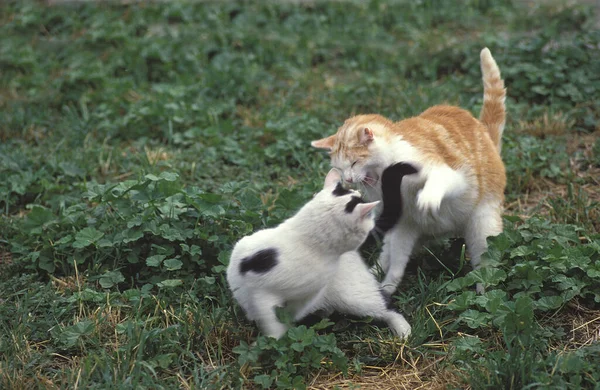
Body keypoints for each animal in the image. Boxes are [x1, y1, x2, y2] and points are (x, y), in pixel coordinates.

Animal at [225, 168, 418, 338]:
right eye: (369, 216)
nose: (373, 221)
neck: (304, 238)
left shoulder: (308, 293)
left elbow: (287, 316)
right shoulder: (263, 295)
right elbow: (274, 320)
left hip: (355, 297)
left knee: (386, 306)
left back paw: (403, 330)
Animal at [310, 47, 506, 294]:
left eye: (353, 163)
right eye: (339, 167)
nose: (347, 179)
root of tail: (485, 133)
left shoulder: (452, 174)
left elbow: (438, 181)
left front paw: (428, 199)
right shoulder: (402, 223)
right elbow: (397, 262)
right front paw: (387, 286)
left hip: (482, 225)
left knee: (484, 262)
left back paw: (484, 291)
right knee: (389, 255)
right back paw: (374, 278)